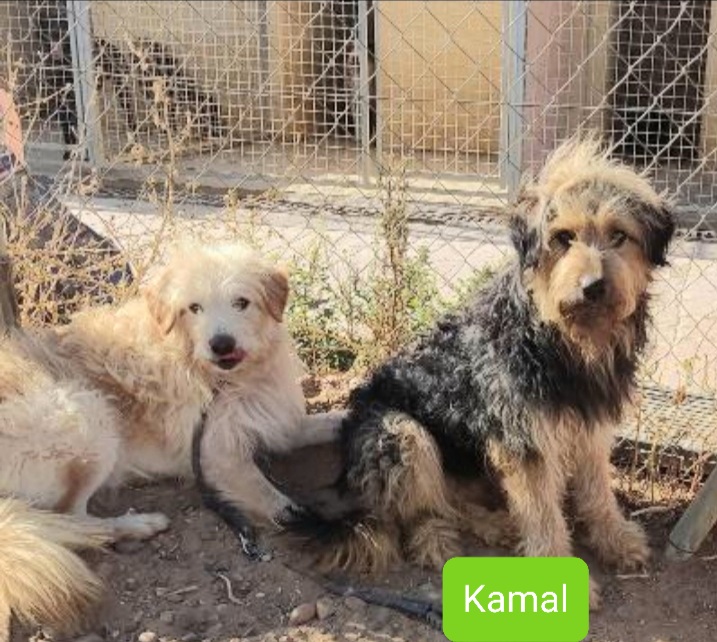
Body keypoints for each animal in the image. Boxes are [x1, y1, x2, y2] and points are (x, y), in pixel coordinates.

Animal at [0, 242, 340, 638]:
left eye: (241, 302)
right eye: (194, 308)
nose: (220, 344)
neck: (222, 377)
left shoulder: (274, 423)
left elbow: (326, 422)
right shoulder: (217, 457)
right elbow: (282, 505)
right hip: (88, 413)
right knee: (72, 519)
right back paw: (138, 525)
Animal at [290, 137, 675, 609]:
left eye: (619, 235)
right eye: (562, 238)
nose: (592, 287)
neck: (562, 340)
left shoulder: (590, 426)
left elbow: (599, 492)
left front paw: (615, 539)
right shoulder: (525, 443)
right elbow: (544, 515)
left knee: (452, 499)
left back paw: (496, 522)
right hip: (402, 432)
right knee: (423, 511)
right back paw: (443, 537)